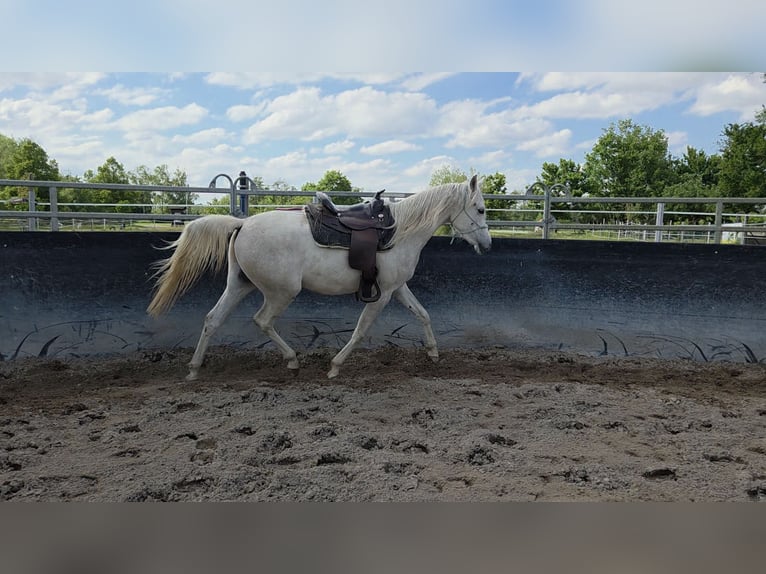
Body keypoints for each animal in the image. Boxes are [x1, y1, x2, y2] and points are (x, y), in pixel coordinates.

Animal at [147, 174, 492, 380]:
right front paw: (335, 366)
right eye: (481, 209)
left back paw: (194, 369)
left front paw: (433, 353)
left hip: (239, 285)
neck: (399, 231)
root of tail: (242, 224)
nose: (488, 244)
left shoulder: (397, 288)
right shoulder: (382, 294)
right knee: (262, 320)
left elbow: (423, 314)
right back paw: (291, 359)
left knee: (212, 319)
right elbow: (360, 330)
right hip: (281, 292)